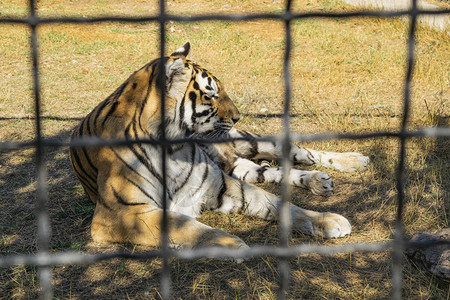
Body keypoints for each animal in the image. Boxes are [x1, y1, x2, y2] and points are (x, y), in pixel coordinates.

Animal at [68, 41, 368, 250]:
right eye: (210, 95)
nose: (237, 116)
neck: (172, 149)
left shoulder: (220, 184)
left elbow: (282, 204)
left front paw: (328, 220)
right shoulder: (120, 213)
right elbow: (184, 225)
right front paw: (230, 244)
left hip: (246, 143)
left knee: (302, 152)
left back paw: (352, 161)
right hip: (240, 166)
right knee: (273, 172)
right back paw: (318, 181)